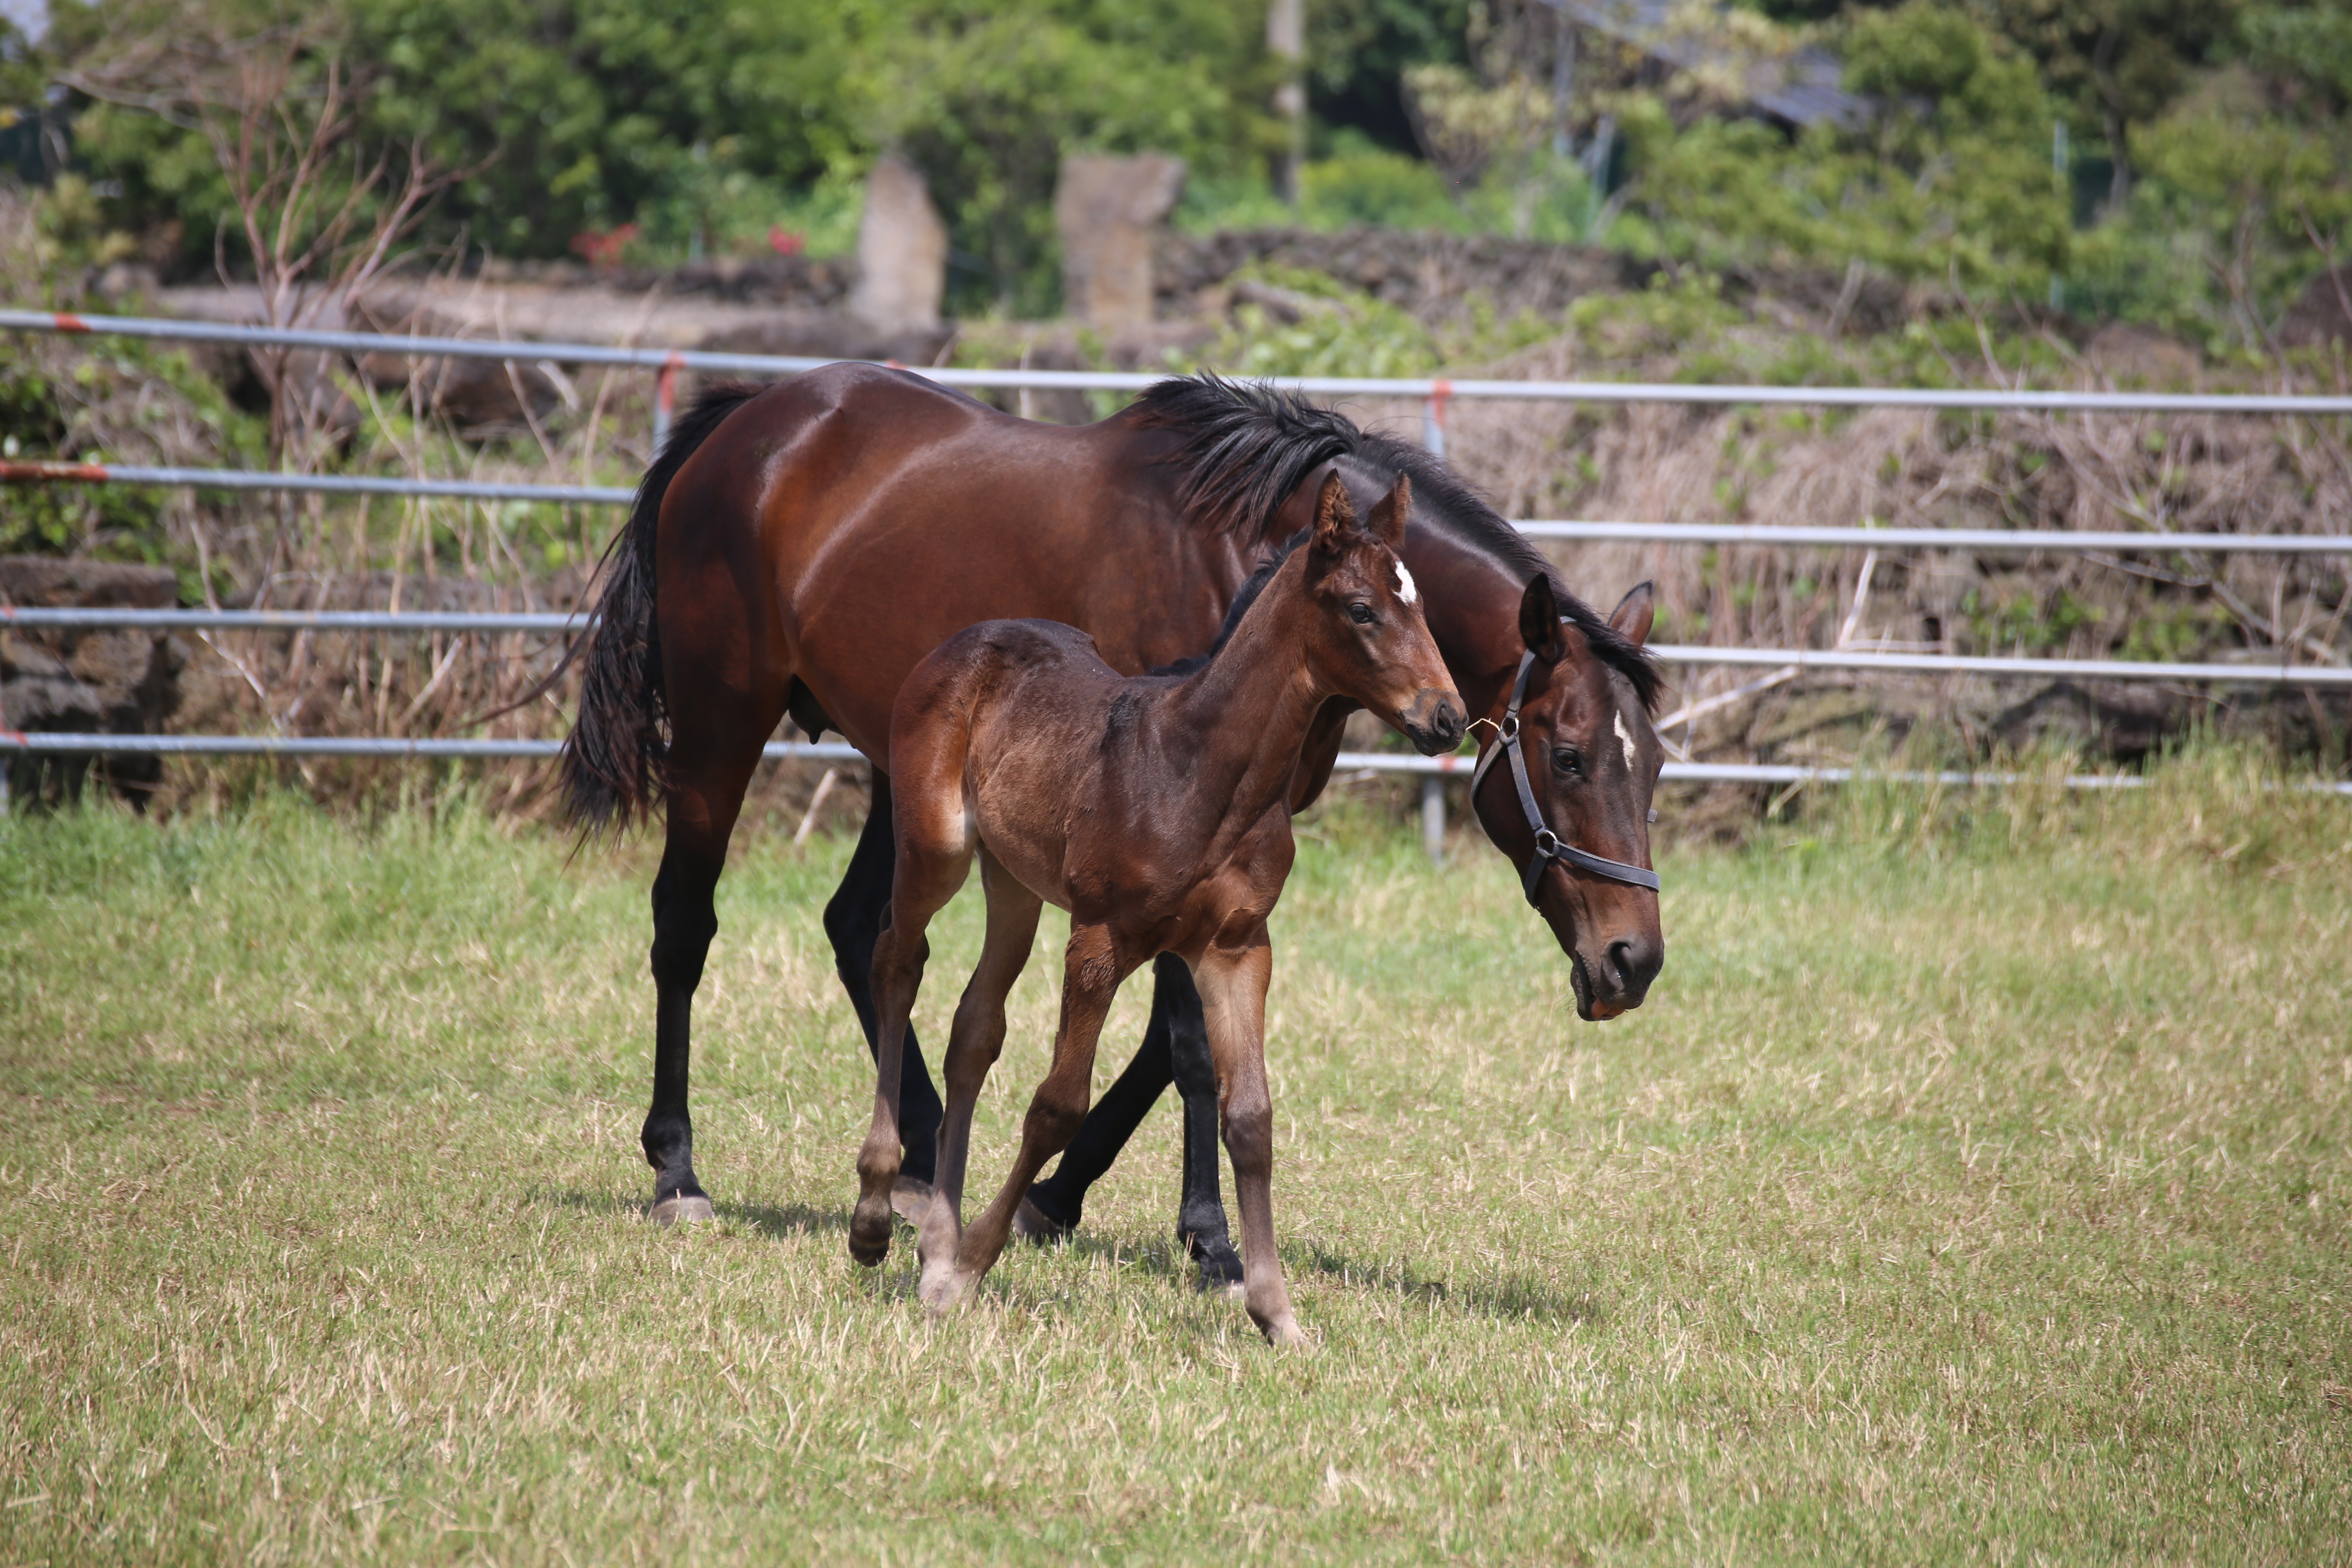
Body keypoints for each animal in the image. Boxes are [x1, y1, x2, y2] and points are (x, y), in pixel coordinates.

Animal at [856, 472, 1458, 1345]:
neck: (1198, 768)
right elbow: (1057, 1106)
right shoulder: (1100, 942)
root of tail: (966, 641)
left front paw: (1276, 1312)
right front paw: (970, 1272)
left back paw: (934, 1241)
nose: (1446, 716)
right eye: (1361, 609)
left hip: (1014, 883)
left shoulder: (1236, 950)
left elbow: (1251, 1118)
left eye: (1421, 604)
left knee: (974, 1029)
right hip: (935, 849)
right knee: (897, 963)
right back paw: (876, 1214)